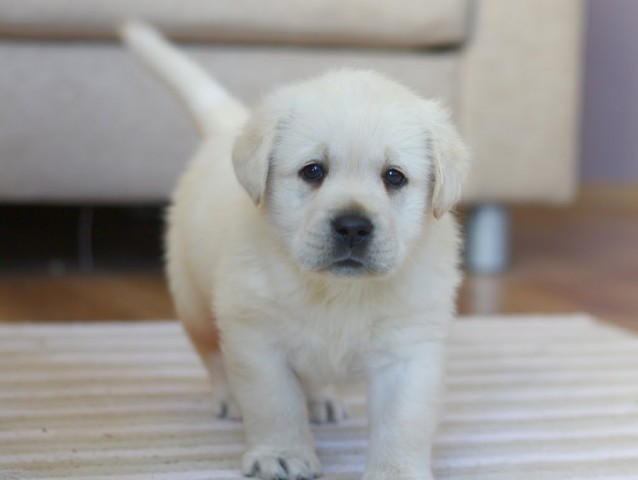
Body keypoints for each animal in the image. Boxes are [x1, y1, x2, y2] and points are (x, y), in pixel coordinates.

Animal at [121, 20, 469, 480]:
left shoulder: (411, 350)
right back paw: (229, 398)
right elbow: (276, 405)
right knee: (214, 356)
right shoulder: (256, 340)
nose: (353, 226)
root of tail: (226, 130)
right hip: (194, 303)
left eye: (394, 177)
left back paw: (323, 401)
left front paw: (396, 472)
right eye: (313, 171)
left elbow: (402, 422)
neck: (337, 292)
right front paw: (281, 454)